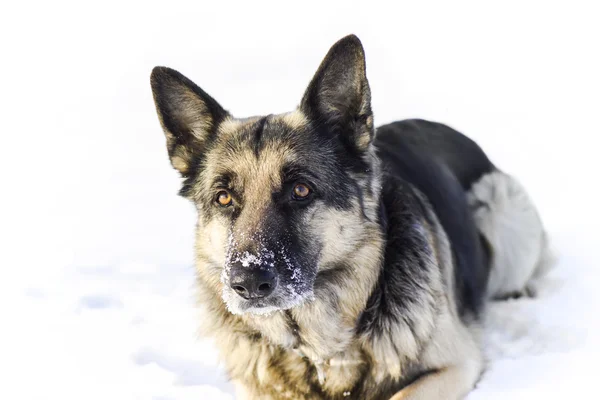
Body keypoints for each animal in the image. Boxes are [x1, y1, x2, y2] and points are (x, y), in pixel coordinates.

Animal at [149, 33, 548, 400]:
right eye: (224, 198)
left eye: (301, 190)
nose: (246, 283)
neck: (320, 348)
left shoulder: (456, 365)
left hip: (500, 206)